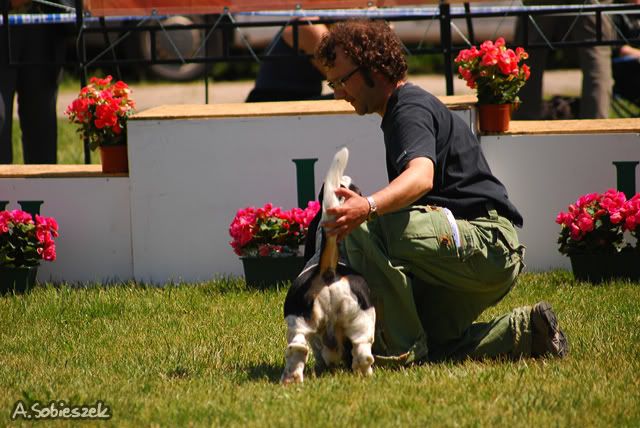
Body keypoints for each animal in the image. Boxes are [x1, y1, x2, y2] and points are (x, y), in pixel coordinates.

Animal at [280, 147, 376, 384]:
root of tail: (328, 272)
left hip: (297, 319)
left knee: (298, 348)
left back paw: (291, 379)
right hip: (363, 320)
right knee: (362, 353)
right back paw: (365, 374)